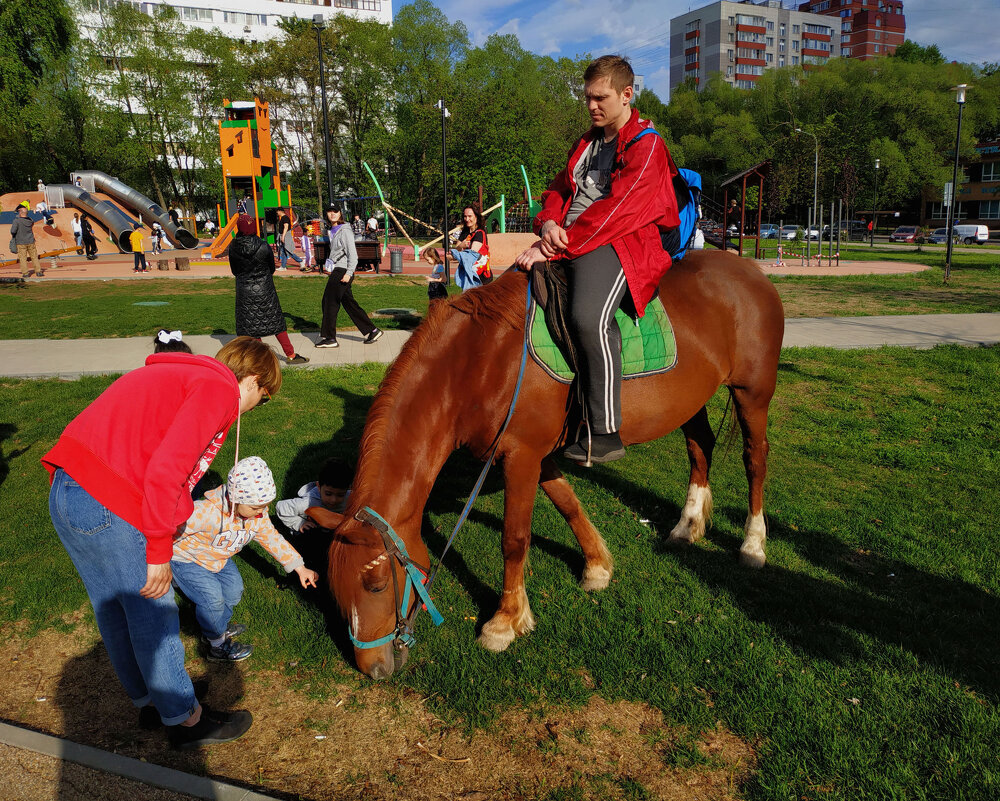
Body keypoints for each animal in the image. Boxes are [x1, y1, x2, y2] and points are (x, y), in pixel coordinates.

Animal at [312, 250, 780, 676]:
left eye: (375, 586)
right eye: (335, 590)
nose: (373, 669)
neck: (479, 361)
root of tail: (750, 271)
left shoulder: (521, 455)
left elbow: (515, 538)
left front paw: (504, 621)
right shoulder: (533, 453)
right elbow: (568, 503)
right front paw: (596, 567)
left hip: (752, 393)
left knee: (754, 460)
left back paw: (753, 544)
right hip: (692, 400)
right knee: (700, 448)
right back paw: (687, 525)